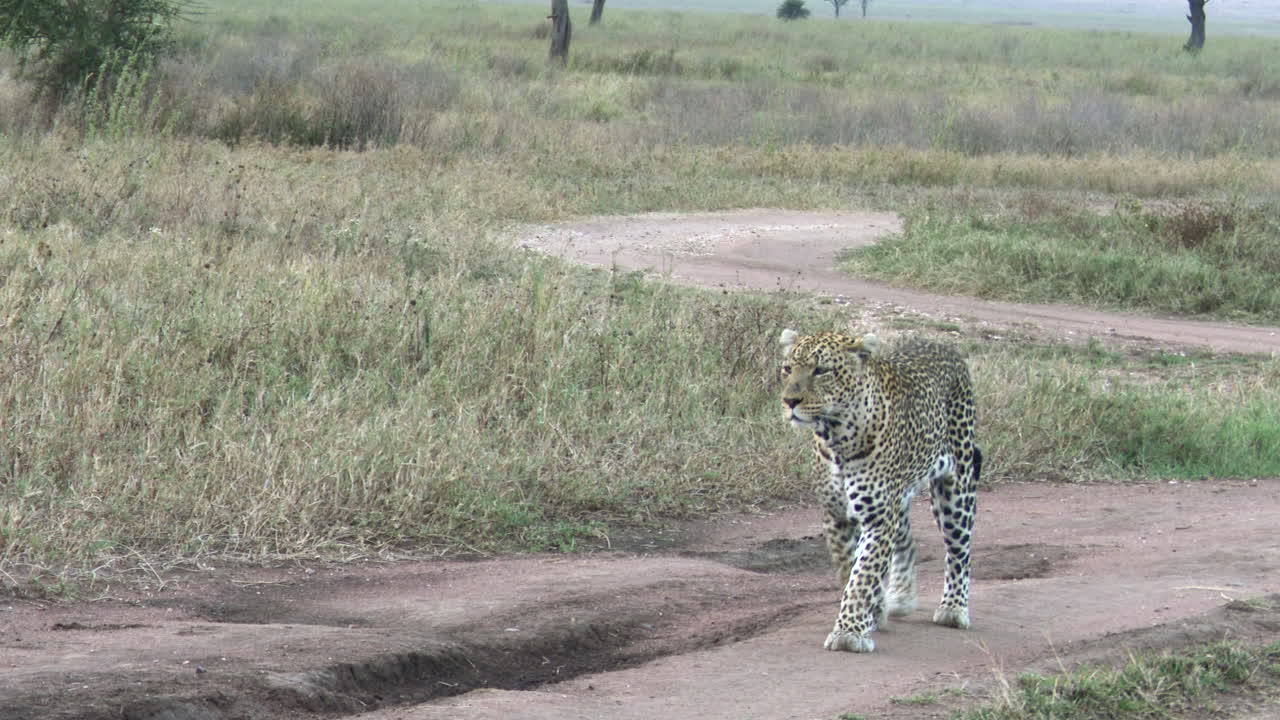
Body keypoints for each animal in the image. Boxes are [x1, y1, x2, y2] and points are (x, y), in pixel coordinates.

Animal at [778, 328, 981, 653]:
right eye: (787, 369)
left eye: (821, 371)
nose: (789, 401)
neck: (836, 437)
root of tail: (939, 343)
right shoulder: (837, 515)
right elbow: (850, 568)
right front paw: (872, 612)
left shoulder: (877, 517)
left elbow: (863, 576)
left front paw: (849, 633)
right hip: (899, 499)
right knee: (907, 541)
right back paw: (900, 598)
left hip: (955, 489)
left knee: (959, 551)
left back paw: (953, 608)